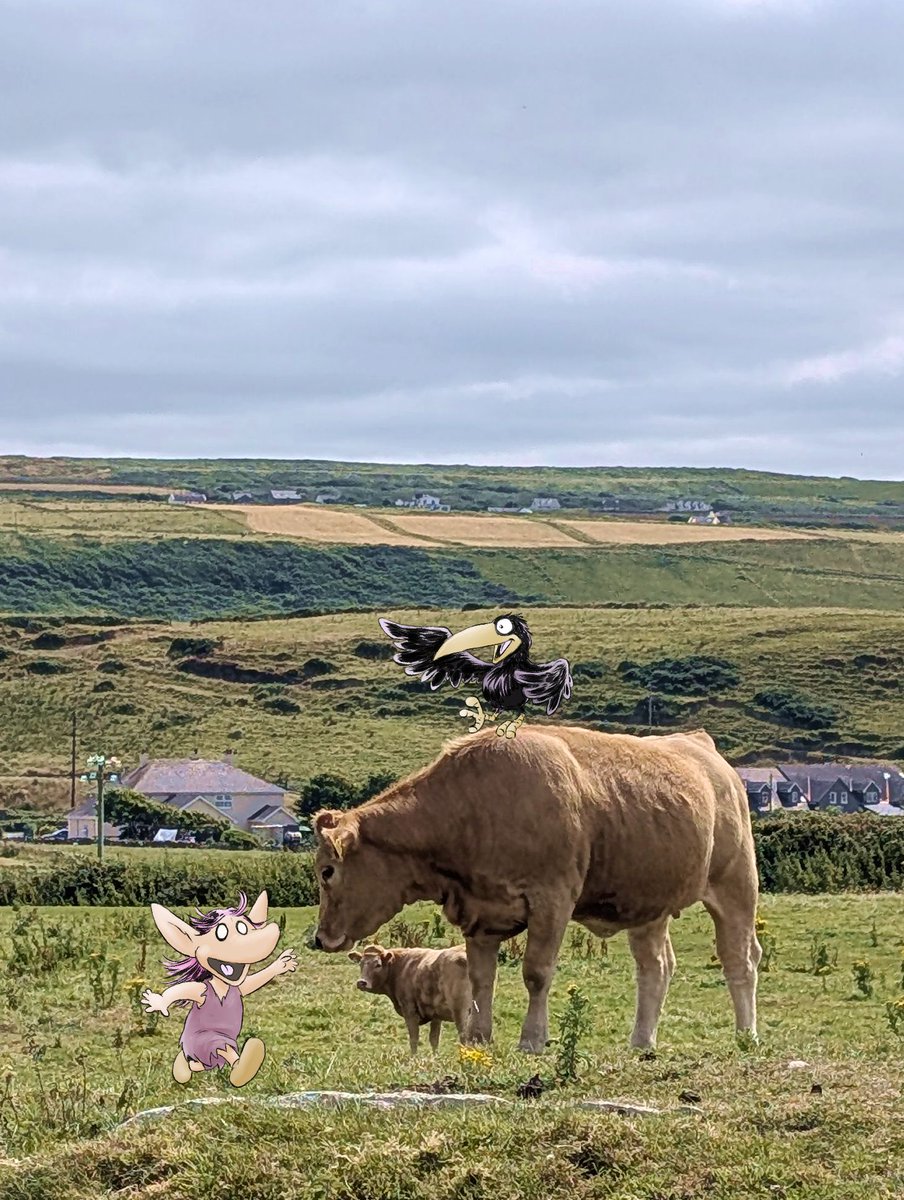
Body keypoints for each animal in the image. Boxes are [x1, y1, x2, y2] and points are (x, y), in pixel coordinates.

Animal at [312, 725, 761, 1054]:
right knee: (656, 967)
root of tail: (700, 745)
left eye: (327, 871)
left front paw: (532, 1039)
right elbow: (481, 980)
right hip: (647, 906)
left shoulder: (551, 900)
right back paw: (641, 1042)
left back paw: (746, 1036)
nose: (318, 938)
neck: (471, 808)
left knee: (740, 960)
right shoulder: (480, 915)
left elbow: (536, 973)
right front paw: (479, 1038)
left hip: (736, 885)